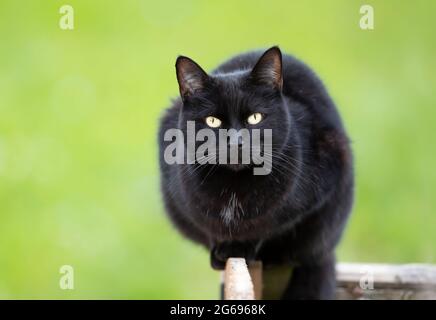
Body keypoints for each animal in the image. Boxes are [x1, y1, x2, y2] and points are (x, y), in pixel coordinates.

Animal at [158, 46, 352, 298]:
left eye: (255, 117)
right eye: (212, 121)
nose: (236, 142)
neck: (234, 185)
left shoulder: (317, 186)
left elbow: (268, 227)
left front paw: (242, 248)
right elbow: (209, 226)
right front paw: (221, 251)